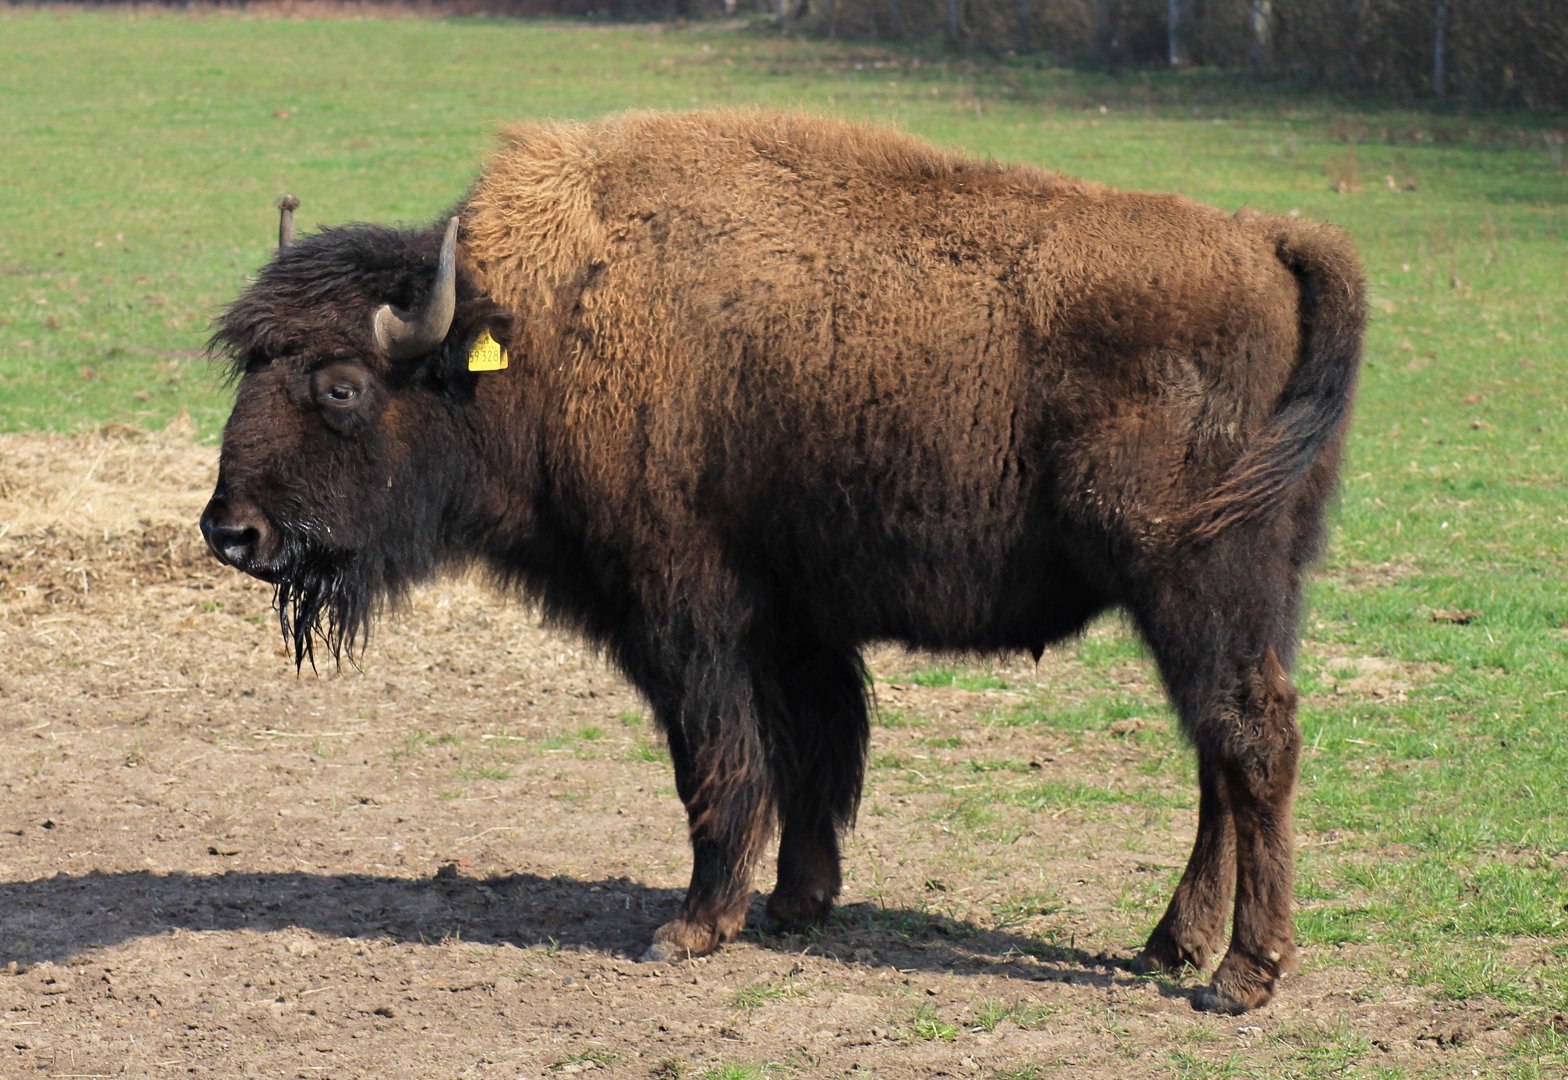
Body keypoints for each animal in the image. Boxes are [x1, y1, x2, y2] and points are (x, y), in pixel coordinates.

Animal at [200, 110, 1364, 1013]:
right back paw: (1170, 946)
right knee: (1221, 753)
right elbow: (813, 750)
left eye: (341, 384)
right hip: (1252, 595)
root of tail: (1266, 241)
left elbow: (719, 759)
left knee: (1251, 742)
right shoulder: (792, 618)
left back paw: (1241, 977)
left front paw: (690, 927)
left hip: (1196, 584)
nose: (231, 532)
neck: (539, 327)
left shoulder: (682, 611)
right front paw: (796, 904)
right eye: (250, 364)